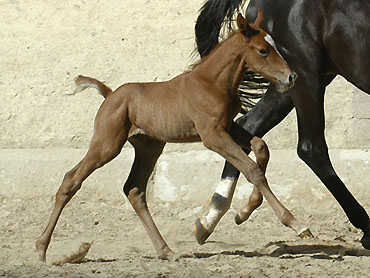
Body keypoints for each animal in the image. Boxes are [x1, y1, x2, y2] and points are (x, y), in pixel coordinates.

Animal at [36, 13, 304, 260]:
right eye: (263, 50)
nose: (291, 77)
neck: (212, 82)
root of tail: (110, 94)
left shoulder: (227, 128)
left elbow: (260, 147)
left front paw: (244, 212)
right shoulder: (212, 136)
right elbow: (251, 169)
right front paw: (296, 224)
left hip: (149, 148)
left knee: (134, 190)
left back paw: (166, 251)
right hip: (107, 145)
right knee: (71, 179)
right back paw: (41, 249)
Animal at [194, 0, 370, 249]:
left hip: (287, 80)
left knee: (248, 126)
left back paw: (213, 218)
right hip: (305, 74)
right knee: (311, 148)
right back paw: (366, 227)